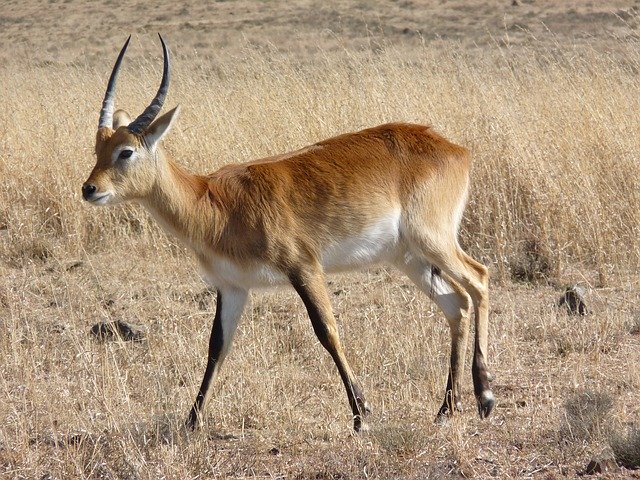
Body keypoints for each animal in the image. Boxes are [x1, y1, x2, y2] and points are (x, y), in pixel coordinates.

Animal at [84, 33, 496, 432]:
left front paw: (361, 414)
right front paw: (192, 421)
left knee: (479, 278)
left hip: (433, 240)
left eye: (125, 151)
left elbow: (326, 330)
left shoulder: (304, 266)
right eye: (97, 148)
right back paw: (446, 409)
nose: (89, 189)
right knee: (456, 303)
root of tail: (456, 149)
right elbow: (217, 346)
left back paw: (485, 397)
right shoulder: (232, 286)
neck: (215, 203)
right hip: (409, 256)